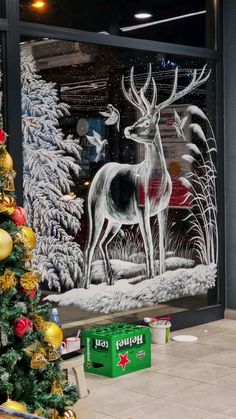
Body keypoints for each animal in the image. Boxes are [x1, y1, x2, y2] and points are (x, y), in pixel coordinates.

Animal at [82, 65, 211, 288]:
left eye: (148, 121)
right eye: (139, 118)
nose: (128, 129)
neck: (156, 185)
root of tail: (98, 174)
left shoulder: (164, 207)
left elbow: (161, 244)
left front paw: (160, 274)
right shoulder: (142, 208)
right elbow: (148, 244)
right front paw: (150, 277)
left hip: (116, 219)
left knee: (102, 243)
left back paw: (110, 280)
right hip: (94, 208)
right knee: (90, 247)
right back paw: (86, 286)